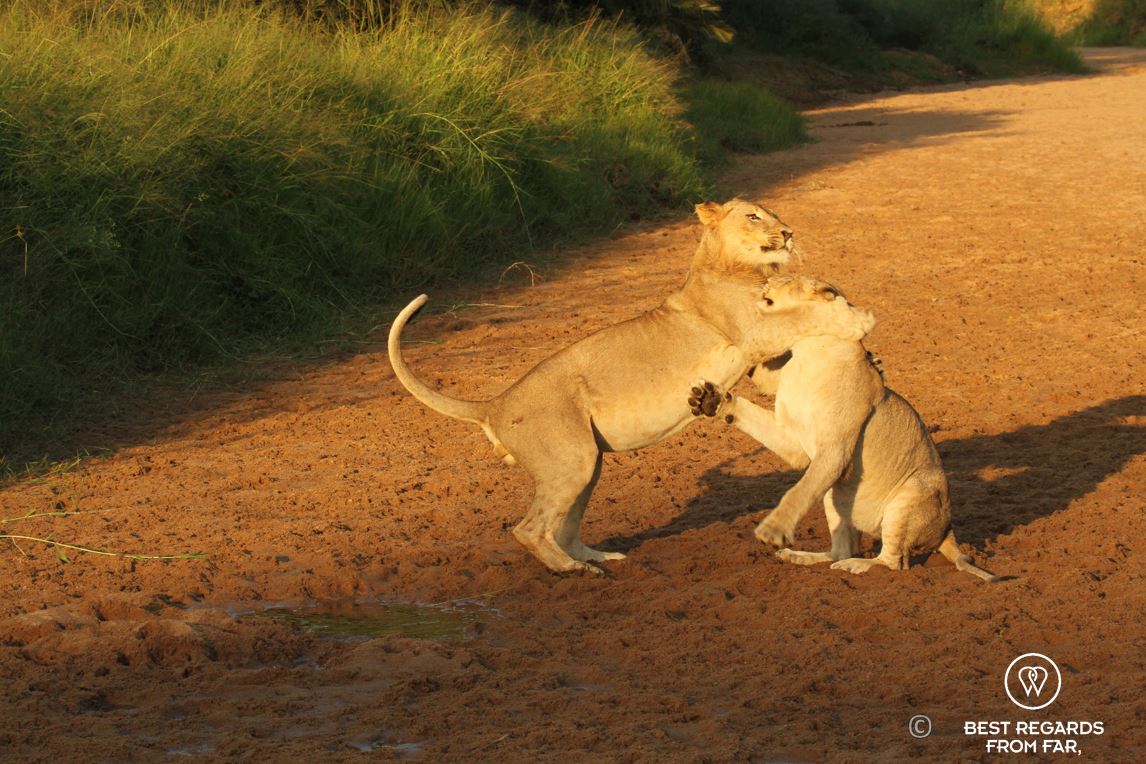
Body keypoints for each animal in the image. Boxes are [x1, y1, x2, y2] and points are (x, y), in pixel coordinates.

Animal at [388, 200, 875, 574]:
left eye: (774, 216)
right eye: (755, 217)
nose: (788, 233)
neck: (732, 267)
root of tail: (495, 402)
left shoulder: (758, 351)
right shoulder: (754, 330)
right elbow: (804, 317)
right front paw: (854, 318)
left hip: (586, 462)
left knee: (563, 526)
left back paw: (597, 556)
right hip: (571, 460)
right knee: (528, 529)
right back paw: (572, 570)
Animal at [689, 274, 997, 582]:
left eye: (788, 279)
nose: (766, 280)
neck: (805, 354)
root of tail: (948, 530)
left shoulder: (834, 450)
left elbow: (798, 492)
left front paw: (772, 531)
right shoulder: (794, 442)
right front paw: (710, 399)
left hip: (907, 499)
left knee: (893, 562)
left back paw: (855, 566)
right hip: (833, 496)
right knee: (841, 550)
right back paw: (800, 556)